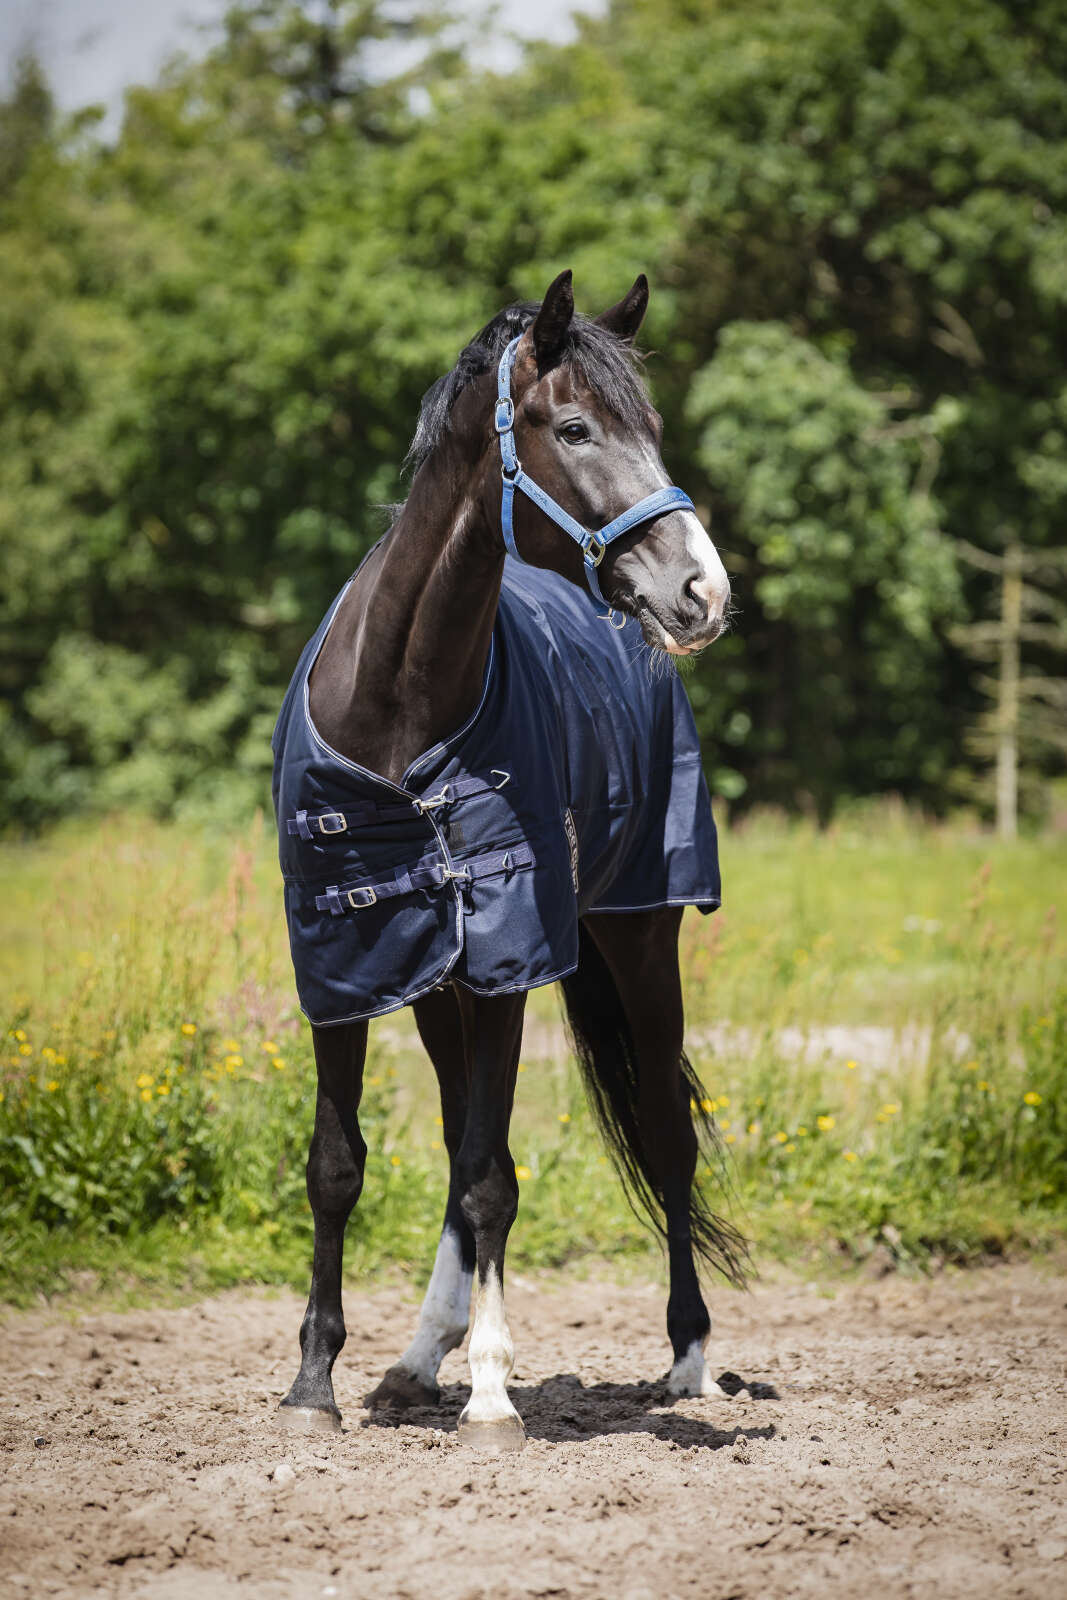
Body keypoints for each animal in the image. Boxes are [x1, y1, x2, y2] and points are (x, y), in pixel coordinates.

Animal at [271, 269, 748, 1453]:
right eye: (573, 427)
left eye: (653, 427)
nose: (703, 594)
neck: (398, 705)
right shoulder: (340, 963)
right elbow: (339, 1167)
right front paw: (314, 1383)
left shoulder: (506, 964)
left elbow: (493, 1178)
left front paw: (491, 1391)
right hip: (438, 987)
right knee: (456, 1145)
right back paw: (413, 1360)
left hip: (635, 940)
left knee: (663, 1138)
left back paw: (687, 1359)